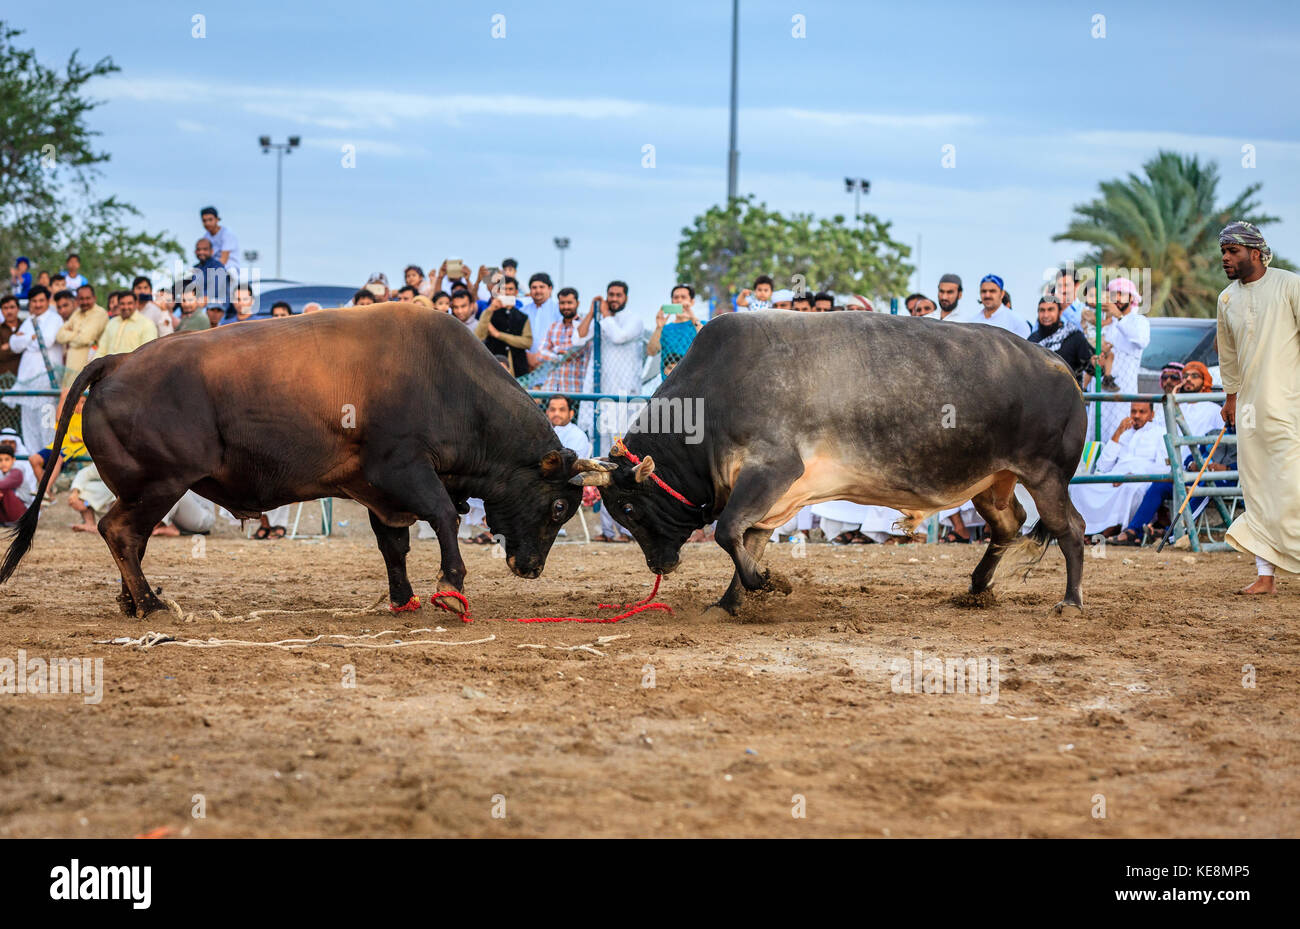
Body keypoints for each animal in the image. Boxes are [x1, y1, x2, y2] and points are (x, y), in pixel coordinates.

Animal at [579, 313, 1086, 618]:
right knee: (1010, 524)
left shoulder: (772, 470)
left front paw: (767, 583)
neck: (713, 398)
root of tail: (1059, 363)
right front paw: (729, 603)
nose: (658, 564)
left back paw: (1071, 600)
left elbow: (727, 532)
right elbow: (747, 541)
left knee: (1072, 530)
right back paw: (978, 587)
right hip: (992, 481)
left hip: (1046, 475)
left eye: (627, 508)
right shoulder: (776, 497)